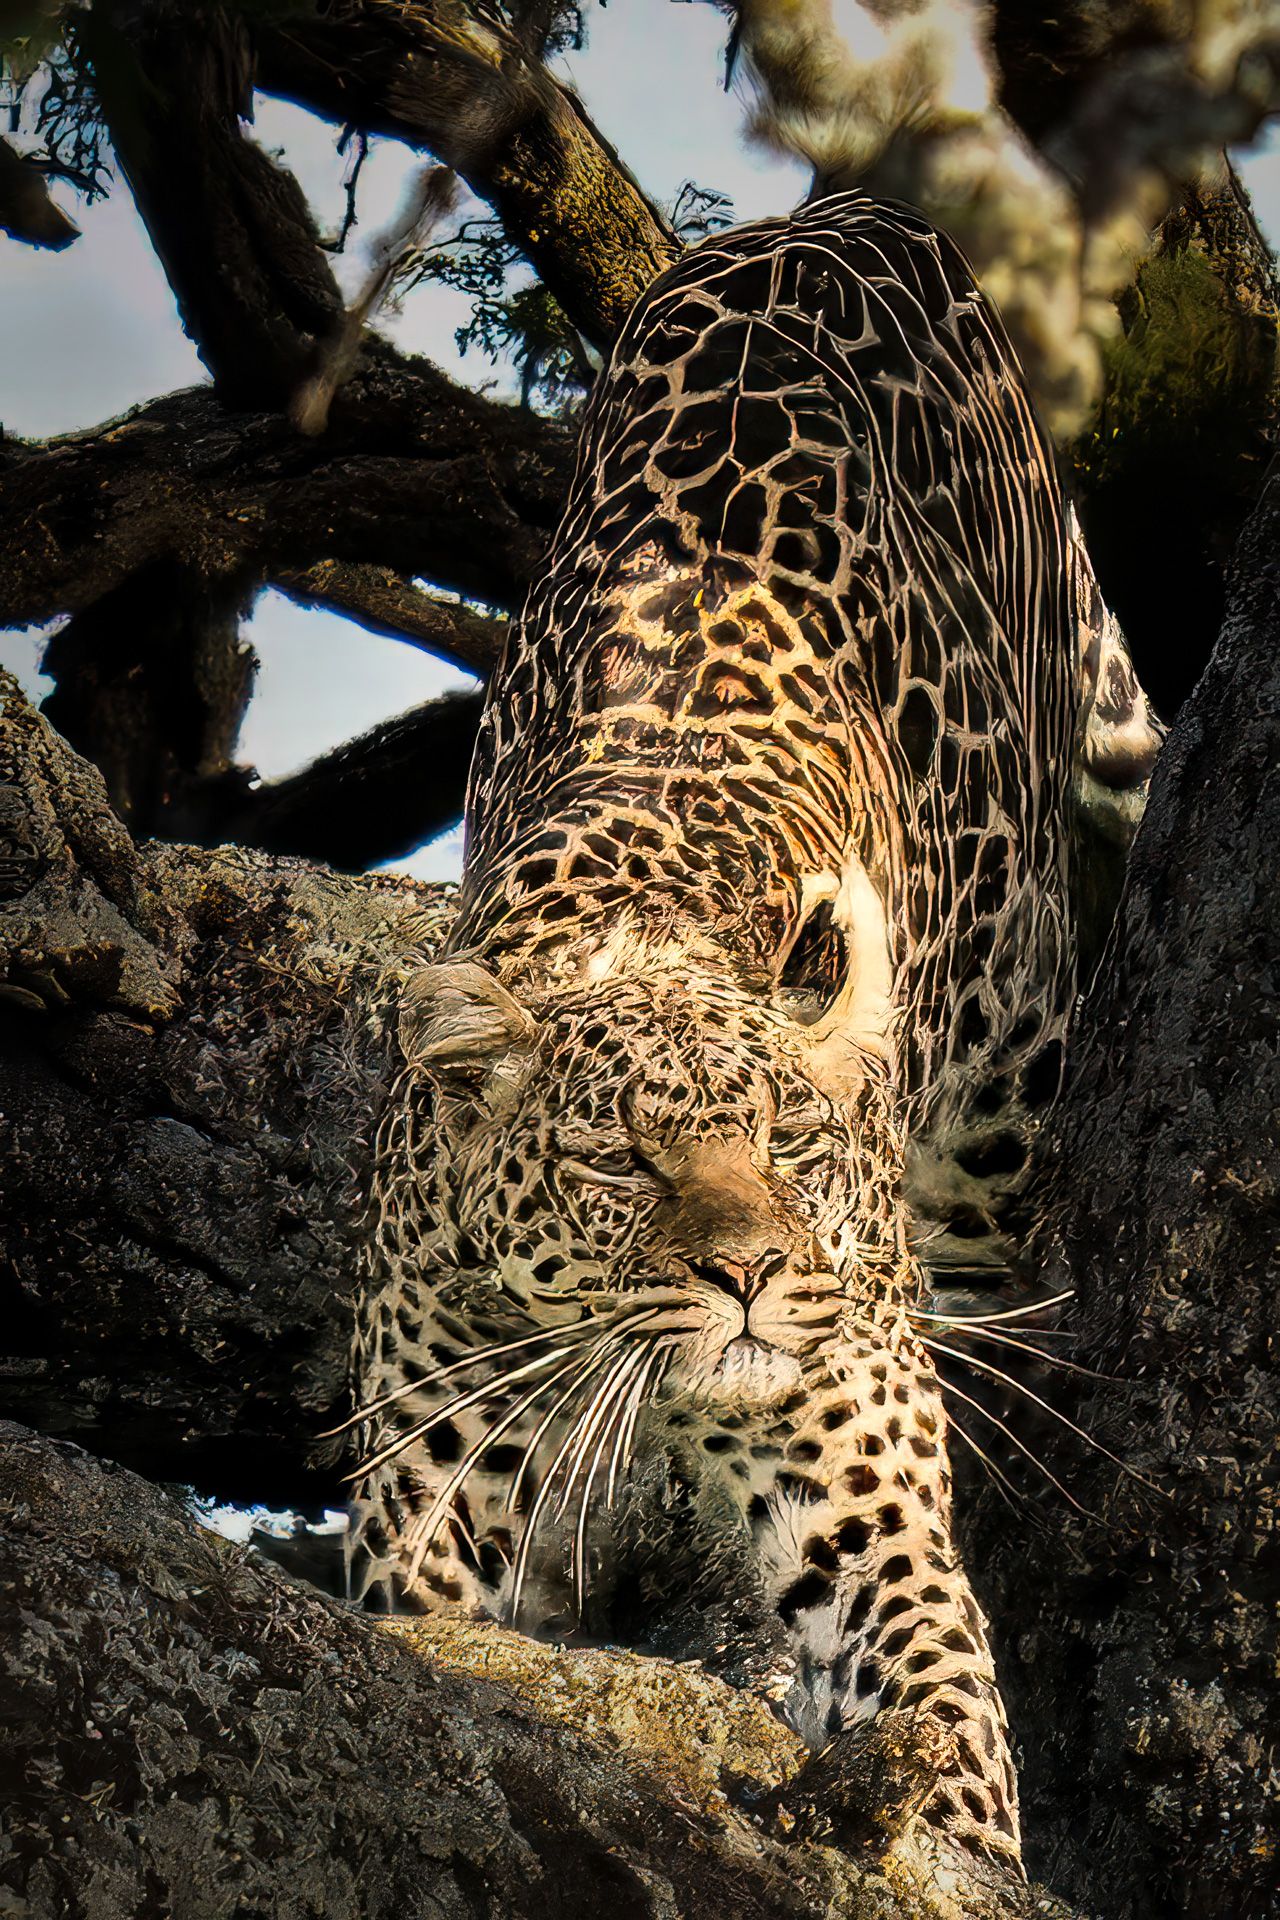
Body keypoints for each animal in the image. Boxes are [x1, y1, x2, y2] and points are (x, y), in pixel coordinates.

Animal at [346, 189, 1161, 1877]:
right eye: (616, 1161)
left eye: (790, 1146)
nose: (749, 1279)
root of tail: (837, 208)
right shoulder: (428, 1503)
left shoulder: (858, 1481)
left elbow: (935, 1692)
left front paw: (954, 1837)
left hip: (1000, 1081)